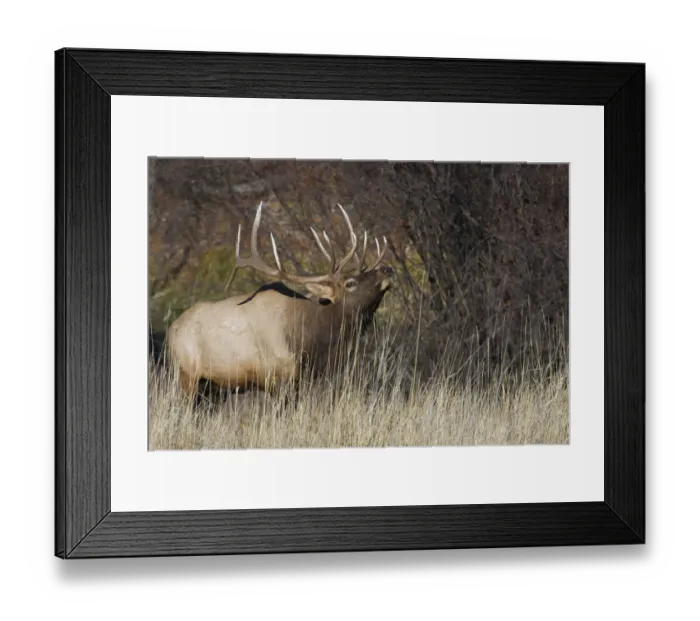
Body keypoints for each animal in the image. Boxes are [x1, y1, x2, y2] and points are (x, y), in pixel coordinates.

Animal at [166, 201, 393, 400]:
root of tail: (172, 328)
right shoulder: (276, 378)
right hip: (187, 375)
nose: (386, 269)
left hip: (214, 388)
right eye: (350, 283)